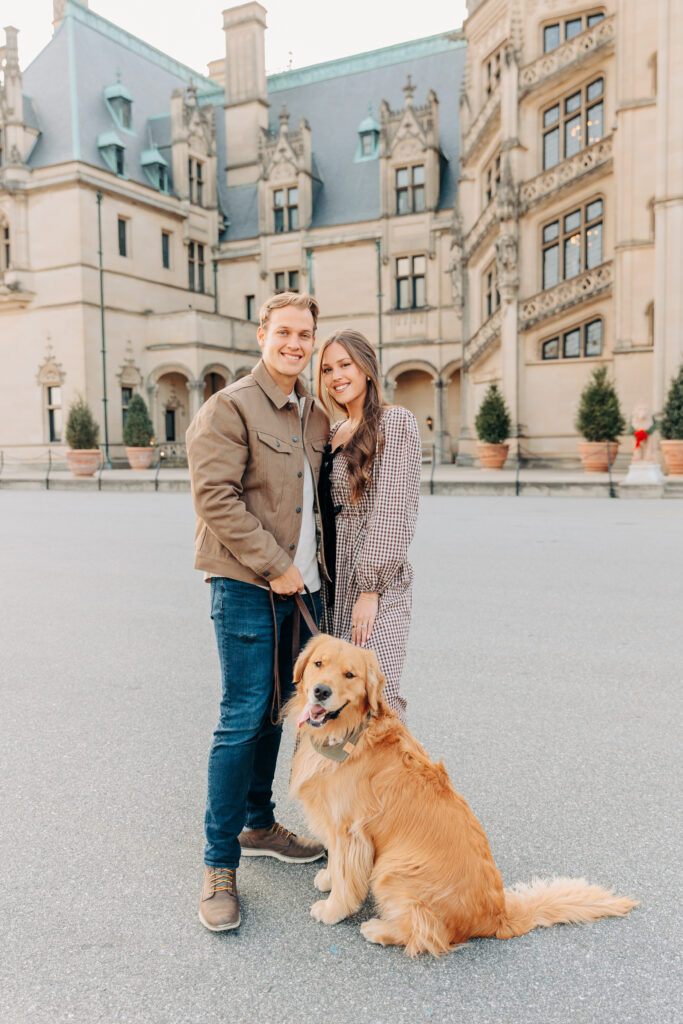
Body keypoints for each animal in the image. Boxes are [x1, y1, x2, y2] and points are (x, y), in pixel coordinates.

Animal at [282, 634, 634, 954]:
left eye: (349, 675)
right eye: (318, 664)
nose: (321, 691)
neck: (349, 734)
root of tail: (498, 916)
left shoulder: (351, 831)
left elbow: (346, 874)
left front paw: (333, 909)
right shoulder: (336, 826)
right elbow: (338, 864)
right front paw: (328, 878)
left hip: (392, 868)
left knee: (427, 932)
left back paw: (380, 929)